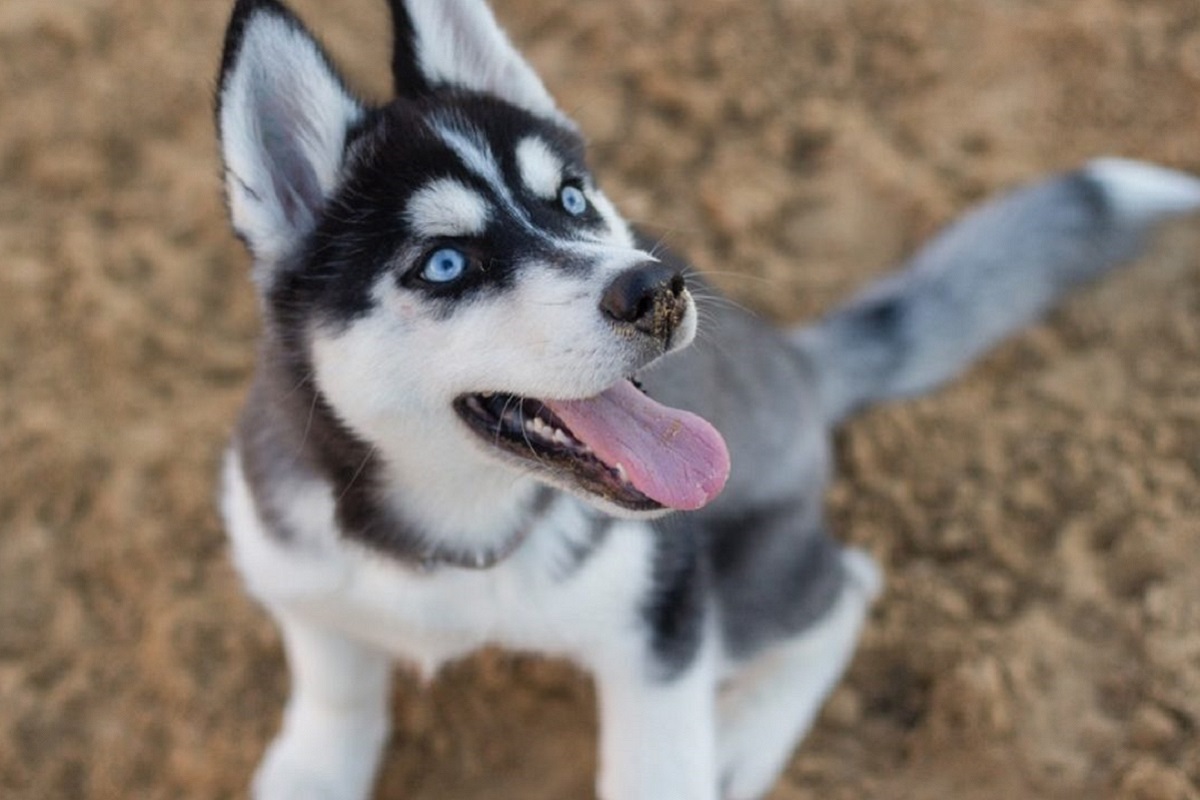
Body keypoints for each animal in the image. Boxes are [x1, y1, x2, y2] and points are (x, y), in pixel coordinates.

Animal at [213, 1, 1200, 800]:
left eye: (572, 198)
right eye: (446, 263)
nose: (656, 288)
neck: (453, 532)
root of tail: (797, 362)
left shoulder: (663, 627)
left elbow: (659, 767)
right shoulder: (295, 573)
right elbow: (335, 685)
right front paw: (313, 767)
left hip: (749, 579)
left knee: (848, 584)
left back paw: (743, 737)